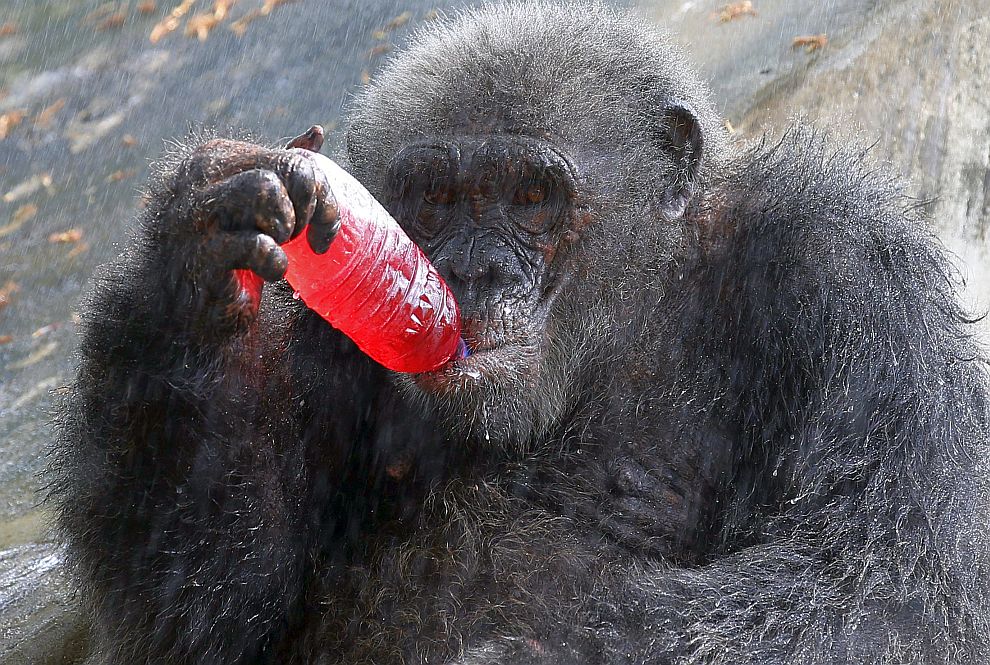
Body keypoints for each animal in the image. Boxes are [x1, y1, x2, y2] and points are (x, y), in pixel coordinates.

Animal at [52, 1, 990, 664]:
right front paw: (195, 257)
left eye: (532, 196)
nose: (474, 272)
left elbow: (883, 587)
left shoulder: (848, 275)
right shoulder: (308, 331)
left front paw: (535, 648)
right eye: (434, 199)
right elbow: (206, 612)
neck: (630, 314)